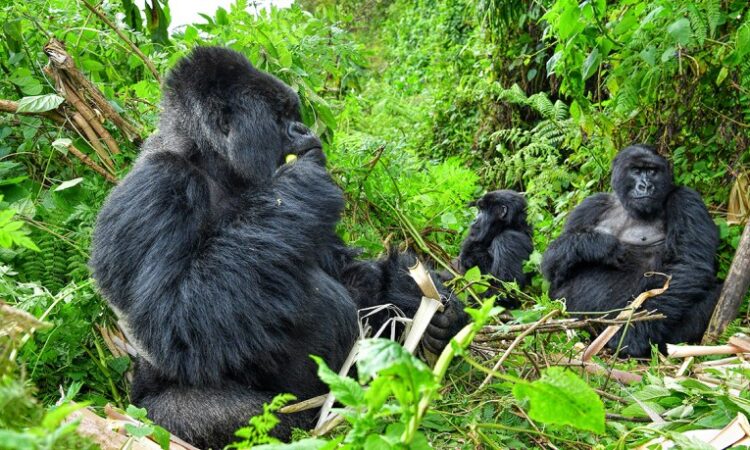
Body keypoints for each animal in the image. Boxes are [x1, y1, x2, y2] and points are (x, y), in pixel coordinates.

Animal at [88, 46, 464, 450]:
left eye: (294, 116)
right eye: (280, 117)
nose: (305, 130)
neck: (213, 162)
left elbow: (350, 273)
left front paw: (429, 303)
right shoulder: (160, 184)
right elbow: (173, 318)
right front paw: (299, 182)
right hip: (146, 418)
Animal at [544, 146, 724, 356]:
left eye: (652, 171)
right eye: (636, 170)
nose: (646, 186)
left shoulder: (687, 199)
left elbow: (689, 264)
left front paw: (633, 333)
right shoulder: (591, 204)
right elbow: (554, 267)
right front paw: (597, 245)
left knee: (714, 292)